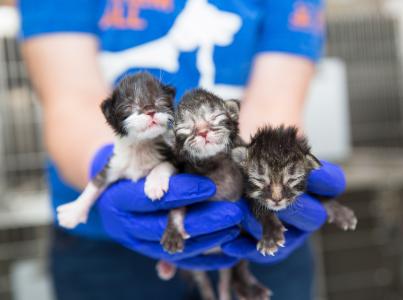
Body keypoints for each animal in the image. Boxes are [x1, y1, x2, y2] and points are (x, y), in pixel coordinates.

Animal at [157, 88, 268, 300]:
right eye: (185, 129)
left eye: (215, 117)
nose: (202, 130)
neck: (215, 164)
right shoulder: (185, 185)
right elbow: (176, 208)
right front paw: (172, 235)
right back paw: (166, 266)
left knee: (237, 268)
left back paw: (248, 287)